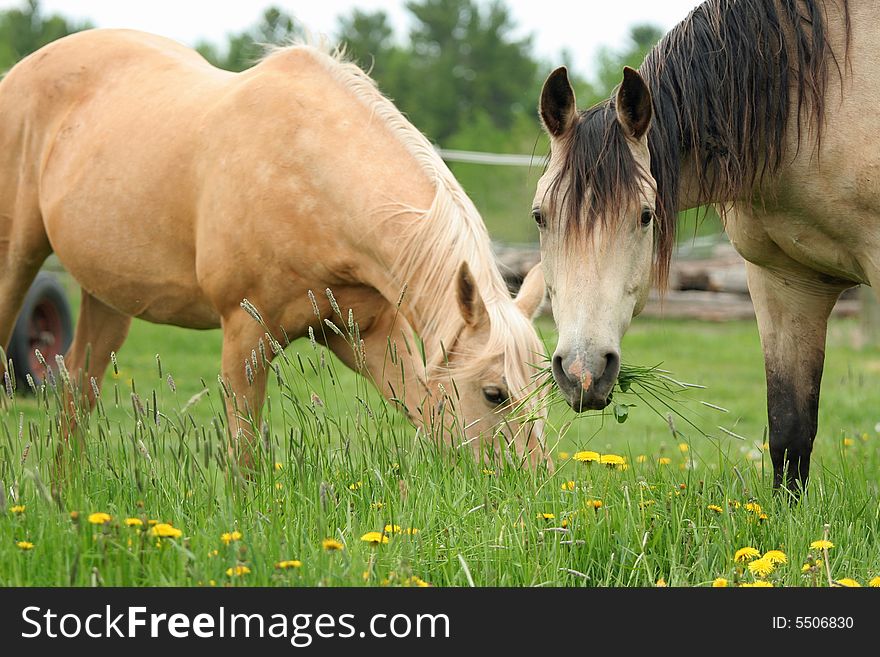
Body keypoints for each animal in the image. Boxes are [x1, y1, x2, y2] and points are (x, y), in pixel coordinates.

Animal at [0, 29, 548, 466]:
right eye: (494, 393)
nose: (526, 483)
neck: (308, 172)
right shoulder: (244, 338)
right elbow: (244, 458)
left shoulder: (369, 334)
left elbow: (429, 413)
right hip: (16, 262)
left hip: (108, 299)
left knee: (75, 392)